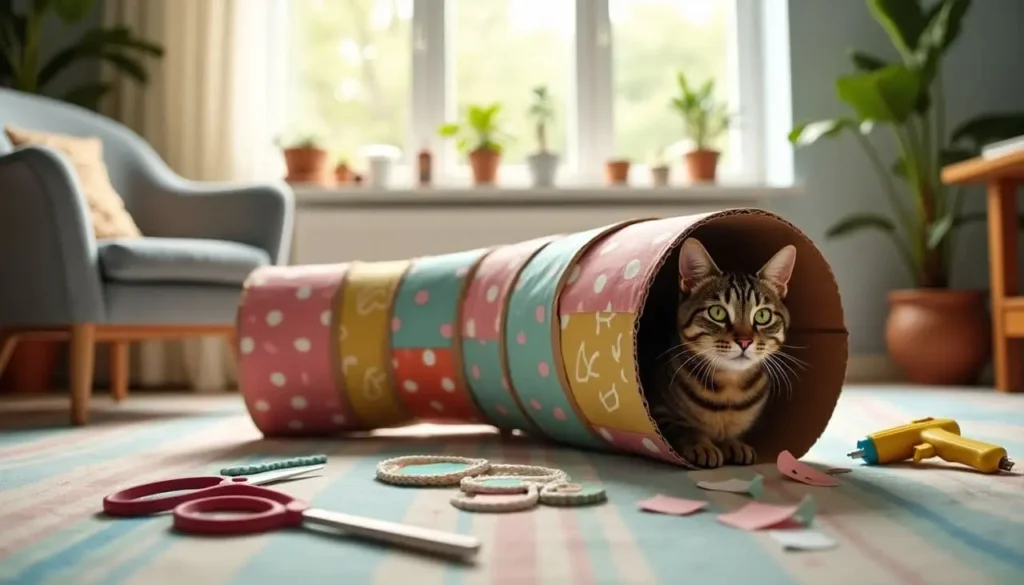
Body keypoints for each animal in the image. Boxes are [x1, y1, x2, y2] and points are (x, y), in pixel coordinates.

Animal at [647, 235, 798, 469]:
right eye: (717, 312)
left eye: (762, 316)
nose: (744, 341)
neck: (729, 388)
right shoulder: (659, 411)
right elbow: (684, 428)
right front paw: (702, 445)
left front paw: (734, 443)